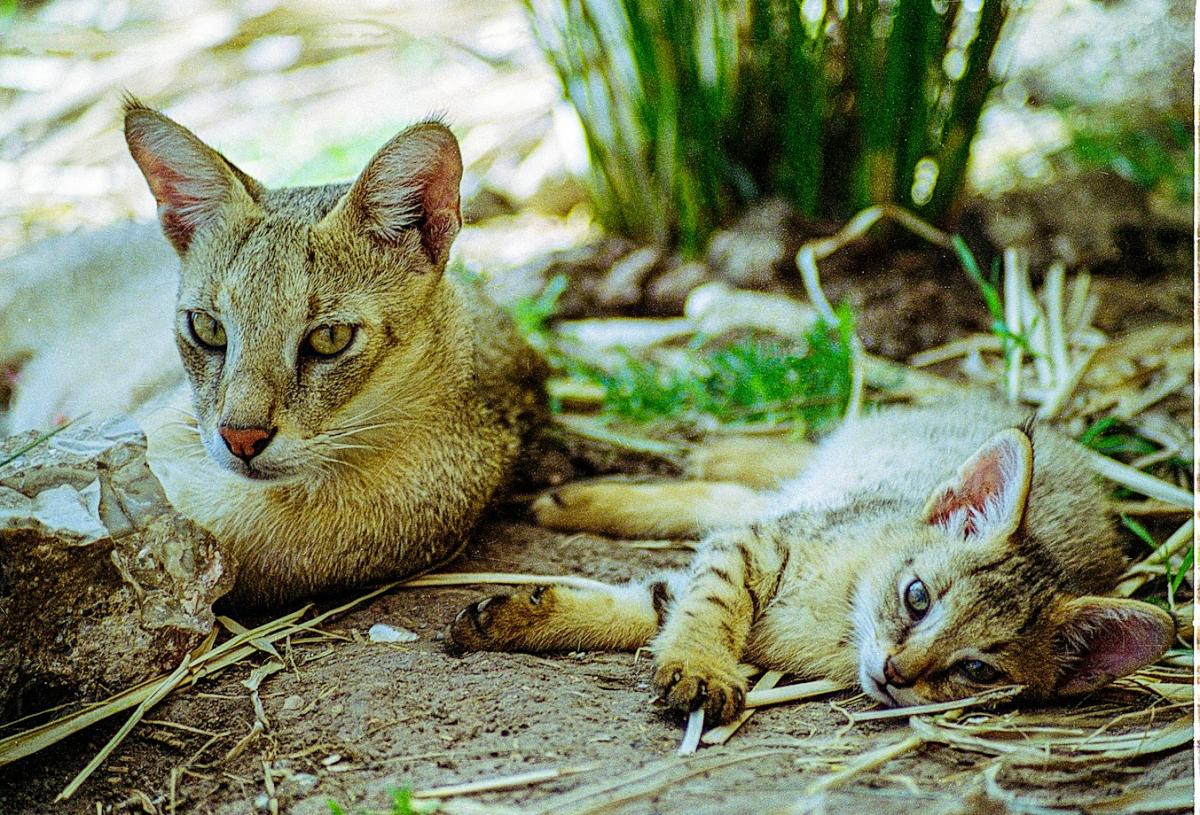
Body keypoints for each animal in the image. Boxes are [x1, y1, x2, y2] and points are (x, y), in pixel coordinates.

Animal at [448, 398, 1171, 724]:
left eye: (976, 670)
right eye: (916, 596)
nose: (895, 671)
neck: (841, 621)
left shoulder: (741, 546)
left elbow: (650, 606)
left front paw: (517, 617)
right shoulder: (757, 544)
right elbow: (710, 604)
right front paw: (701, 666)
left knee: (730, 496)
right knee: (774, 469)